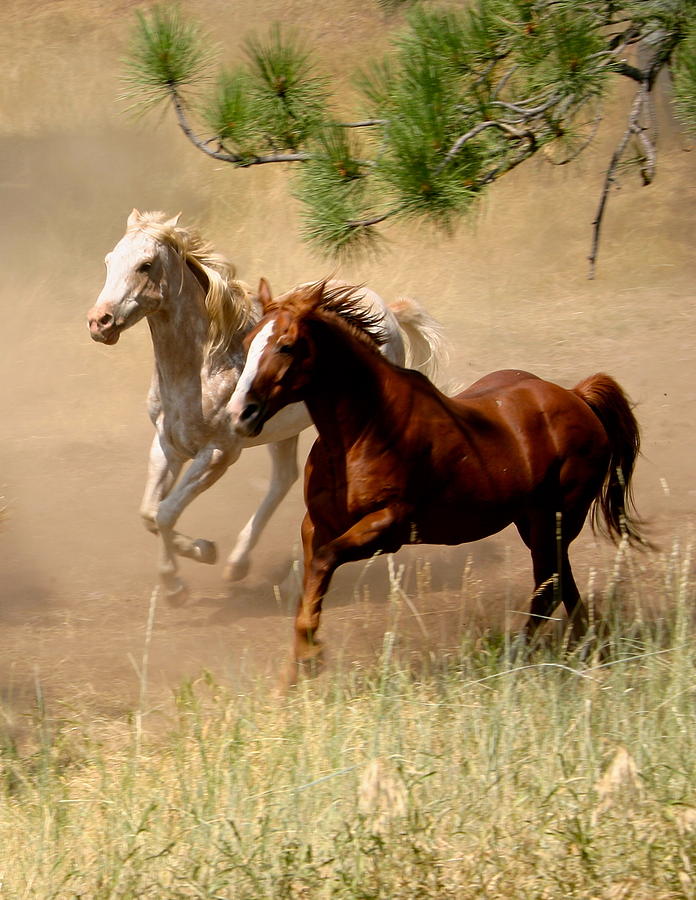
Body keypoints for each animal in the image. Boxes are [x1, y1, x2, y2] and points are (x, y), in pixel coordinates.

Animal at [87, 209, 446, 604]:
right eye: (109, 261)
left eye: (145, 265)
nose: (99, 322)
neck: (202, 366)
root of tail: (386, 311)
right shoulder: (167, 444)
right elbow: (149, 514)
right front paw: (194, 562)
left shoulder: (218, 453)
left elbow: (165, 514)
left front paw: (181, 578)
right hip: (283, 431)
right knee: (283, 479)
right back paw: (240, 564)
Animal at [230, 280, 648, 668]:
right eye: (249, 341)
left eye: (286, 345)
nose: (240, 413)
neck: (363, 430)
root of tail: (578, 397)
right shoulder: (317, 524)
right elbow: (311, 585)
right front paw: (297, 669)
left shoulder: (389, 527)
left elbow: (322, 562)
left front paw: (309, 658)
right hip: (533, 522)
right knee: (561, 584)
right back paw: (588, 646)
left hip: (558, 517)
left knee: (550, 588)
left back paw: (517, 656)